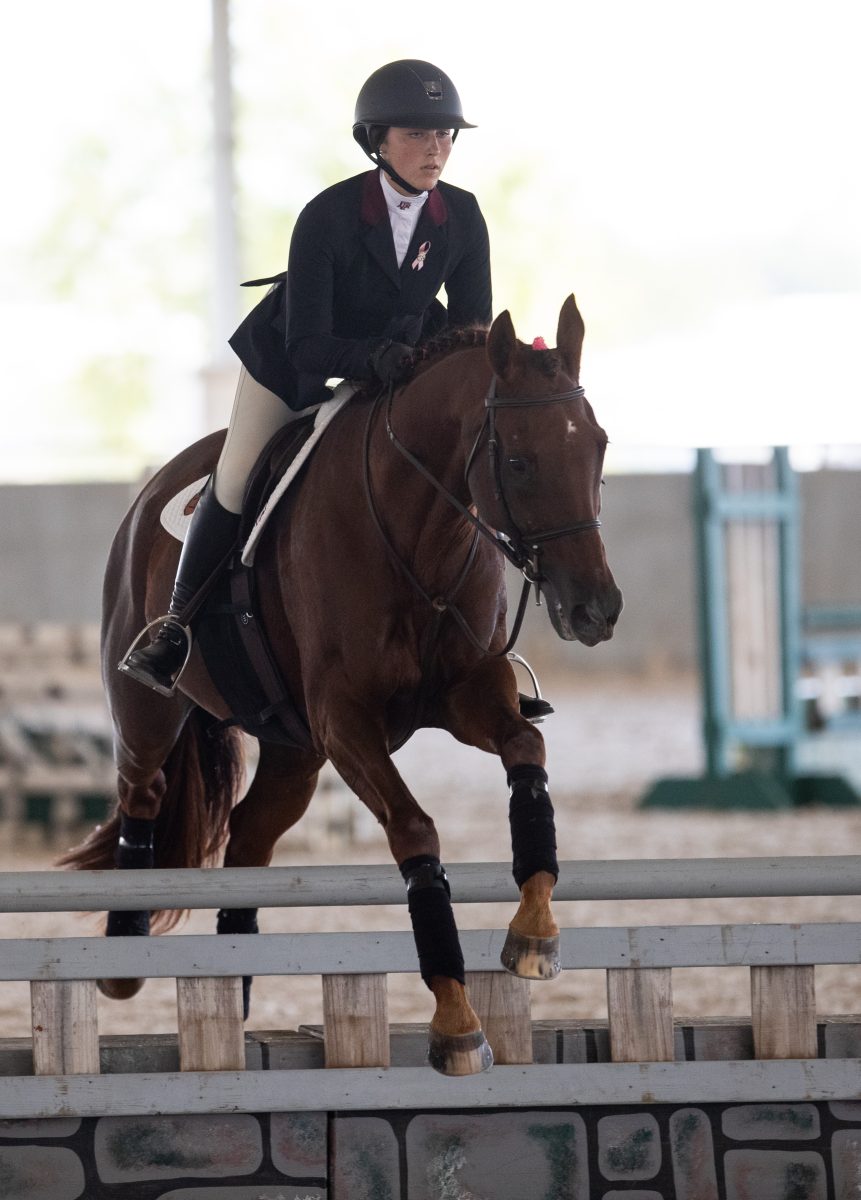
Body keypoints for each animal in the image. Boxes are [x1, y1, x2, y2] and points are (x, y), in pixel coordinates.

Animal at [64, 292, 623, 1080]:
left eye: (597, 447)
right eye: (517, 461)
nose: (595, 611)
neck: (421, 531)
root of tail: (150, 490)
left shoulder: (464, 694)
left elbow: (526, 753)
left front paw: (534, 934)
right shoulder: (345, 721)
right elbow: (414, 829)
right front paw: (457, 1024)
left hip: (294, 753)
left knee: (248, 838)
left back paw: (233, 993)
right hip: (149, 710)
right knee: (141, 796)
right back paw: (124, 955)